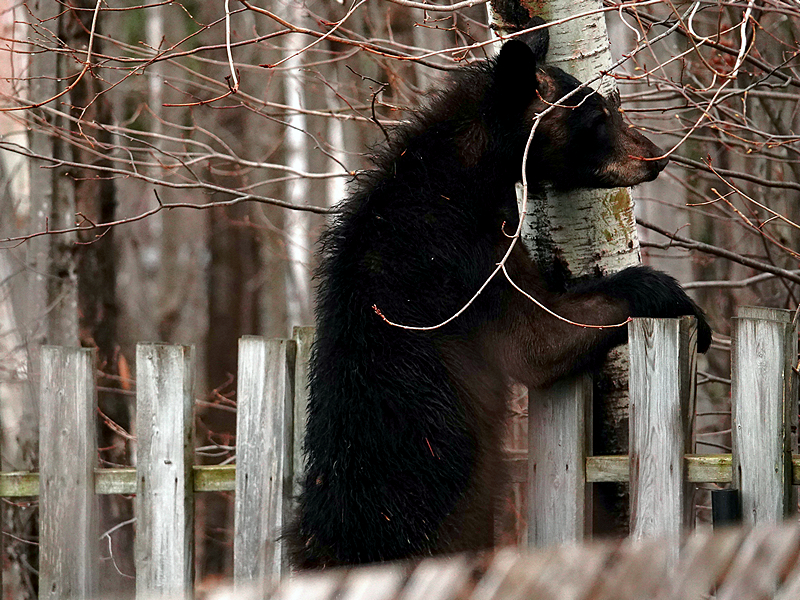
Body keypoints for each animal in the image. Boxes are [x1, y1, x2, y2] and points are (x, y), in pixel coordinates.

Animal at [286, 21, 708, 568]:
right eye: (597, 116)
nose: (656, 156)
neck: (461, 178)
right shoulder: (463, 261)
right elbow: (536, 341)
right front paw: (679, 300)